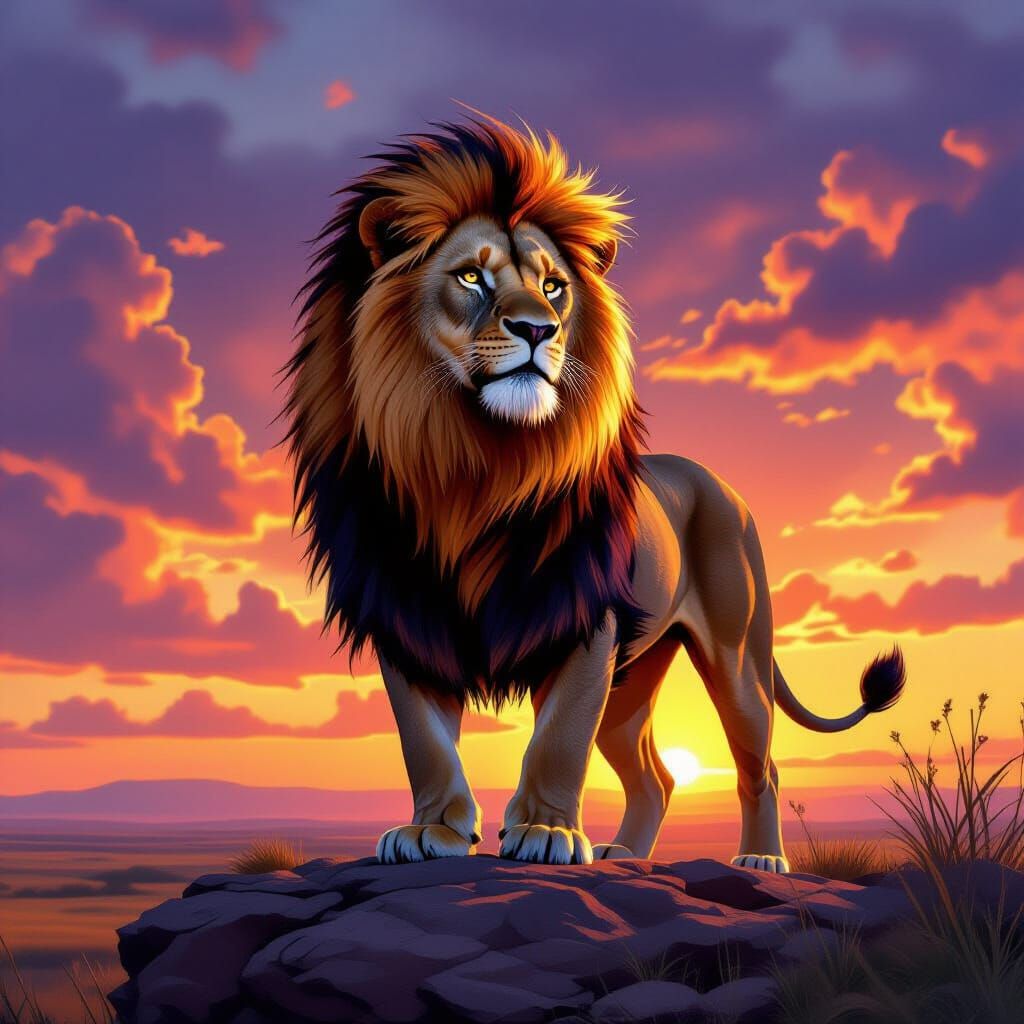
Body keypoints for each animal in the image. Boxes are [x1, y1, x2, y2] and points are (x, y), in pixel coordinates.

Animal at [282, 115, 905, 873]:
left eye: (553, 287)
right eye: (470, 276)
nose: (537, 330)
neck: (470, 462)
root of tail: (722, 484)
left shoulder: (587, 620)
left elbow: (558, 740)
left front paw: (545, 832)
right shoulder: (404, 615)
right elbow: (424, 741)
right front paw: (433, 831)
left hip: (733, 656)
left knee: (760, 762)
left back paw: (759, 859)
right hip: (633, 681)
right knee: (657, 775)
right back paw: (625, 855)